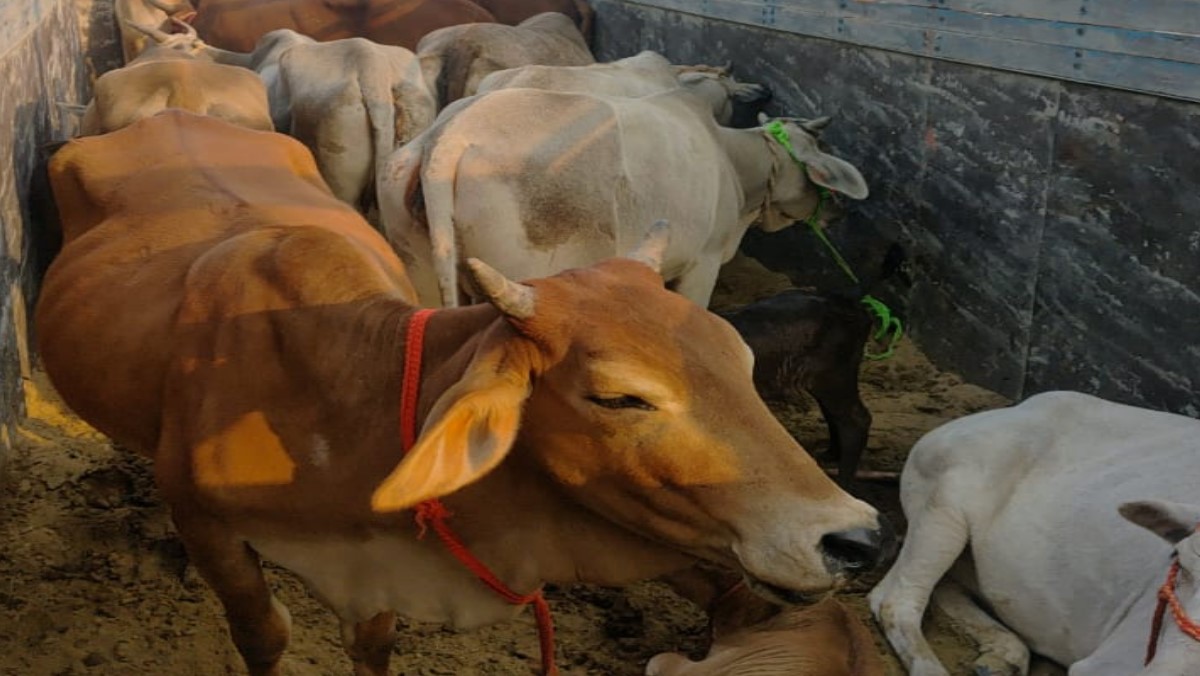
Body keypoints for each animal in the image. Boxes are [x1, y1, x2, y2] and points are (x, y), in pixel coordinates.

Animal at [378, 89, 868, 309]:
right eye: (820, 149)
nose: (841, 210)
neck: (733, 160)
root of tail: (450, 137)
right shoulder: (704, 261)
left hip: (421, 269)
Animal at [717, 290, 873, 487]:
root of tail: (857, 308)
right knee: (834, 415)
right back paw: (831, 454)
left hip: (834, 375)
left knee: (856, 420)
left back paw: (842, 483)